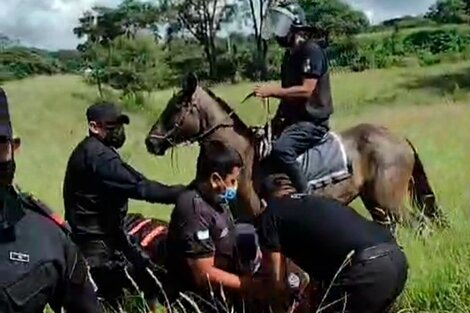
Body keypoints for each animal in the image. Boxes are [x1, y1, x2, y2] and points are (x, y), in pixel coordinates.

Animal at [145, 72, 446, 232]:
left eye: (176, 108)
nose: (151, 142)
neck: (245, 159)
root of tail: (400, 139)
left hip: (390, 202)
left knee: (421, 226)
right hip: (377, 205)